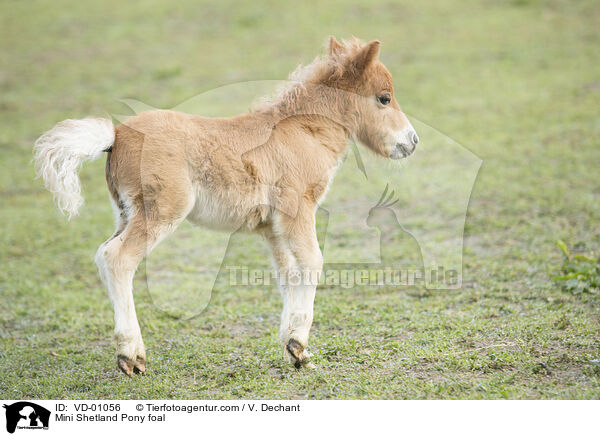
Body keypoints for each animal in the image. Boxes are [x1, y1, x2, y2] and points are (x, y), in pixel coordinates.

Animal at [32, 37, 418, 376]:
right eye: (384, 98)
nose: (412, 141)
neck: (302, 132)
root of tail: (116, 136)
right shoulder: (298, 210)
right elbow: (312, 263)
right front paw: (299, 347)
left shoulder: (273, 227)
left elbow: (289, 274)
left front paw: (294, 351)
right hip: (161, 211)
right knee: (118, 258)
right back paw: (131, 357)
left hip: (126, 212)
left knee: (103, 254)